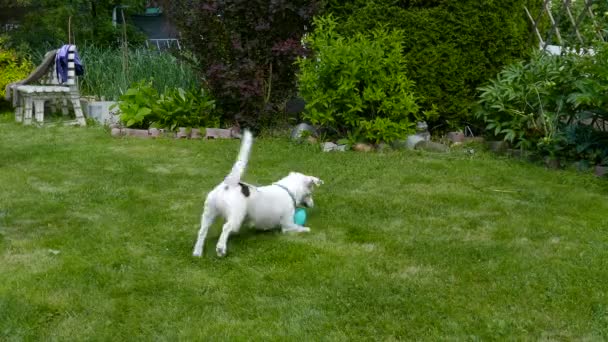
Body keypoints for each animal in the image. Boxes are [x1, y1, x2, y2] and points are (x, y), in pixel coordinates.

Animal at [192, 129, 324, 256]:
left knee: (202, 230)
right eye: (310, 193)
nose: (312, 204)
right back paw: (220, 248)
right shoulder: (288, 225)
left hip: (208, 213)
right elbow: (300, 228)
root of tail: (230, 183)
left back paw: (197, 252)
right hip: (236, 216)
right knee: (226, 227)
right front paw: (307, 229)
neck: (288, 190)